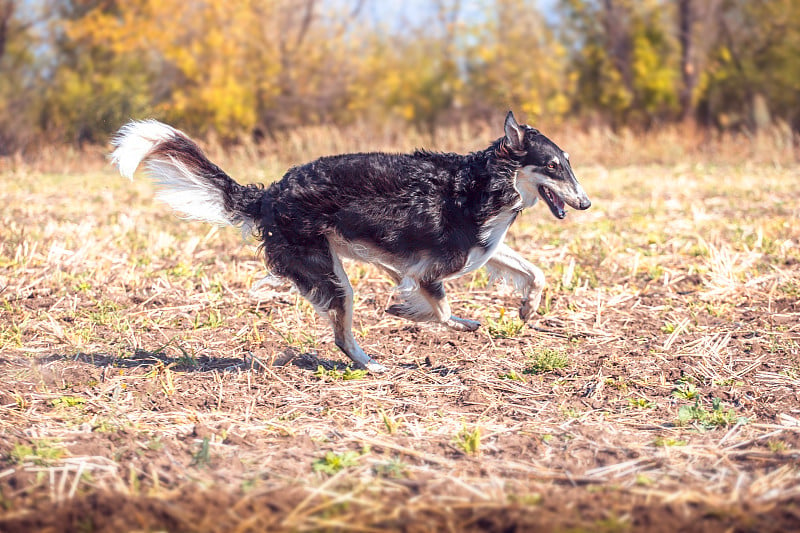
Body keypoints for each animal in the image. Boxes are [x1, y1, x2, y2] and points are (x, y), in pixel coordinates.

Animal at [109, 112, 592, 370]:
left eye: (567, 163)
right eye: (552, 166)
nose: (585, 203)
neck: (482, 184)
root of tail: (269, 194)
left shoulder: (479, 250)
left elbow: (533, 271)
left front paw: (528, 307)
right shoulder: (427, 271)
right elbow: (442, 311)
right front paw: (428, 317)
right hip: (332, 276)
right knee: (342, 336)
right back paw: (372, 364)